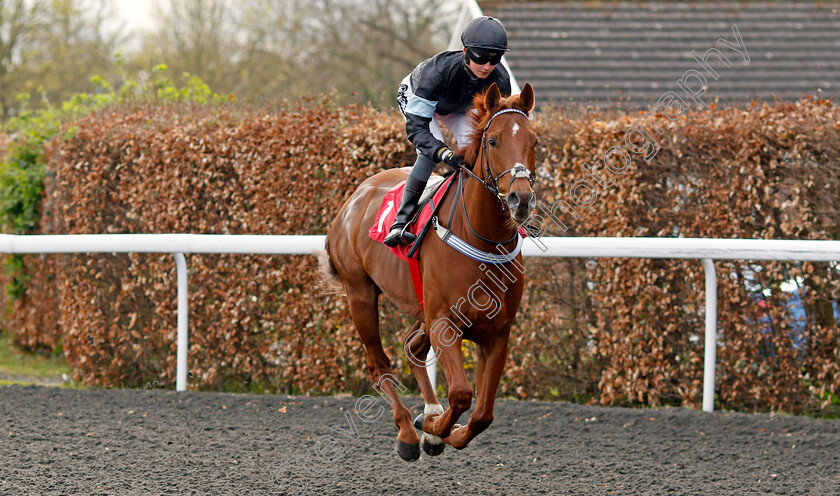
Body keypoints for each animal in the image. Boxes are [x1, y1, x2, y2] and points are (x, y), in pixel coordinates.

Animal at [318, 82, 540, 462]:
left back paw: (429, 415)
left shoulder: (497, 331)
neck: (483, 239)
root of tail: (352, 201)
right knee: (379, 365)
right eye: (493, 141)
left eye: (534, 142)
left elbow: (483, 412)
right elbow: (462, 394)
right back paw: (409, 431)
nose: (520, 199)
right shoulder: (443, 322)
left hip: (420, 308)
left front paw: (446, 431)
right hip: (360, 294)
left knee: (412, 348)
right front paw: (434, 428)